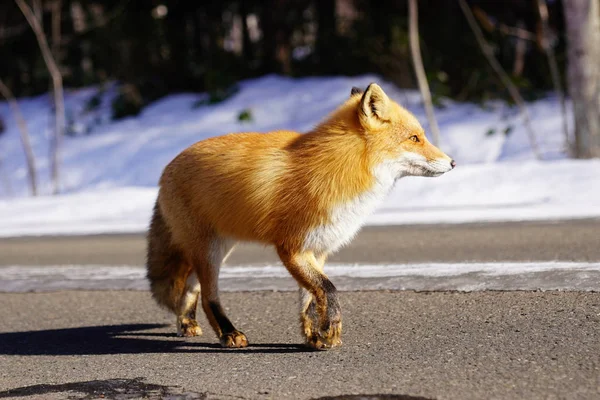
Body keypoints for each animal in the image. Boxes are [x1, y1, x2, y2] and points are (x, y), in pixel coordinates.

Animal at [146, 83, 454, 348]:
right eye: (414, 138)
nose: (452, 162)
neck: (340, 168)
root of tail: (166, 169)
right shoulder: (291, 247)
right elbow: (328, 289)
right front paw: (331, 330)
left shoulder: (317, 248)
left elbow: (310, 299)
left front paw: (315, 336)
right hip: (210, 250)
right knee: (209, 295)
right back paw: (228, 333)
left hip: (219, 248)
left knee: (190, 286)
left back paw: (186, 323)